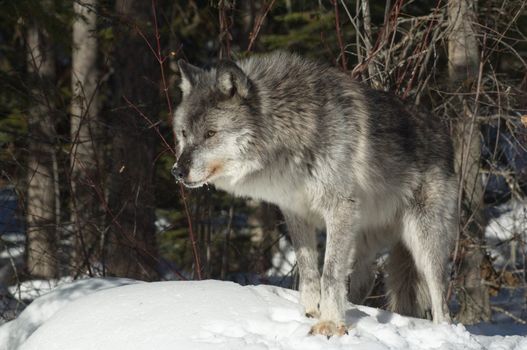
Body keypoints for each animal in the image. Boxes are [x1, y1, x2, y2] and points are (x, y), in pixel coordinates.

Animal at [172, 51, 458, 336]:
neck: (291, 127)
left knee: (440, 297)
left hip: (422, 239)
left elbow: (329, 274)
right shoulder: (295, 213)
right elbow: (309, 270)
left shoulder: (339, 208)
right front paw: (310, 313)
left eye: (210, 133)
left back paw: (441, 331)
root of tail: (444, 131)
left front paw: (328, 324)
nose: (177, 171)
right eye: (184, 133)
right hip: (361, 241)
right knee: (365, 281)